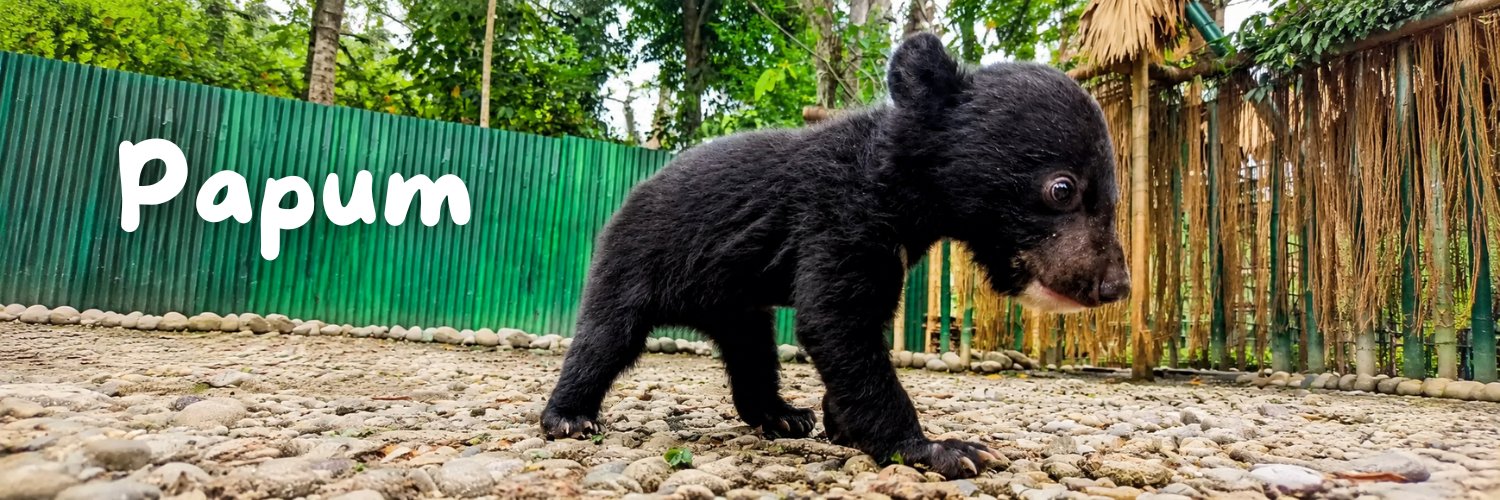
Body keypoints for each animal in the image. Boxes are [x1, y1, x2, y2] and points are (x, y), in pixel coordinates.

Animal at [540, 32, 1128, 479]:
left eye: (1114, 199)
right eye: (1062, 189)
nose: (1115, 285)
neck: (906, 191)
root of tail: (629, 196)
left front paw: (838, 424)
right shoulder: (840, 214)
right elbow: (836, 320)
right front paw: (944, 450)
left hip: (732, 300)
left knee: (753, 351)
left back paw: (780, 416)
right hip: (637, 259)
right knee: (606, 336)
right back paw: (569, 418)